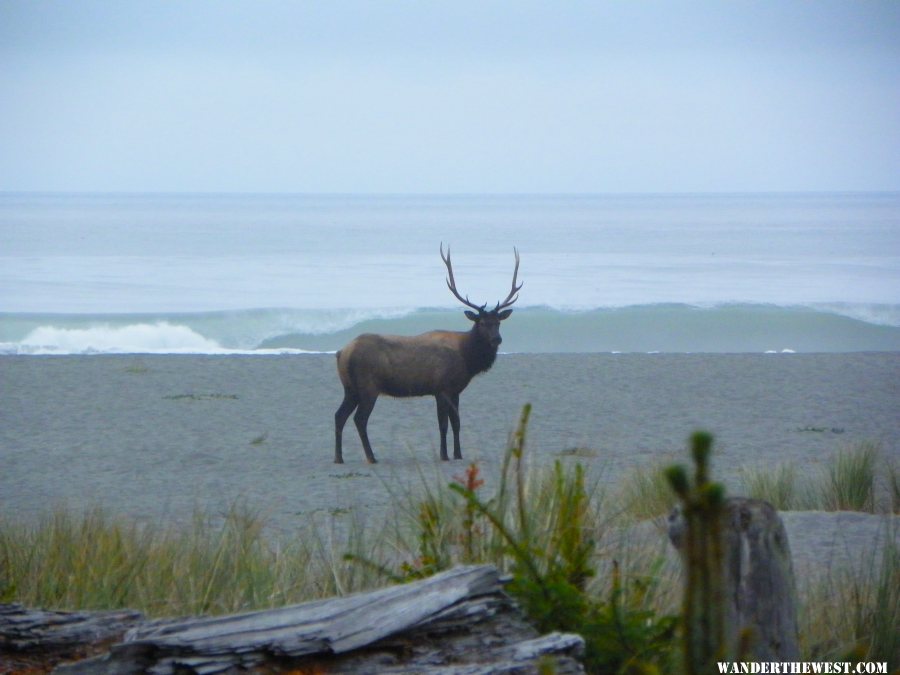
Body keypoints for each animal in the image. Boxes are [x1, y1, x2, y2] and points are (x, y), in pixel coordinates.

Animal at [336, 247, 520, 464]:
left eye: (498, 322)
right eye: (482, 322)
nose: (497, 339)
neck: (467, 359)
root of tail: (342, 352)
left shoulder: (455, 391)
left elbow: (457, 422)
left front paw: (458, 454)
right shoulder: (441, 388)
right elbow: (443, 424)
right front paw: (444, 455)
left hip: (350, 388)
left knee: (339, 416)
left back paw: (339, 457)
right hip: (368, 386)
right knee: (360, 419)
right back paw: (371, 457)